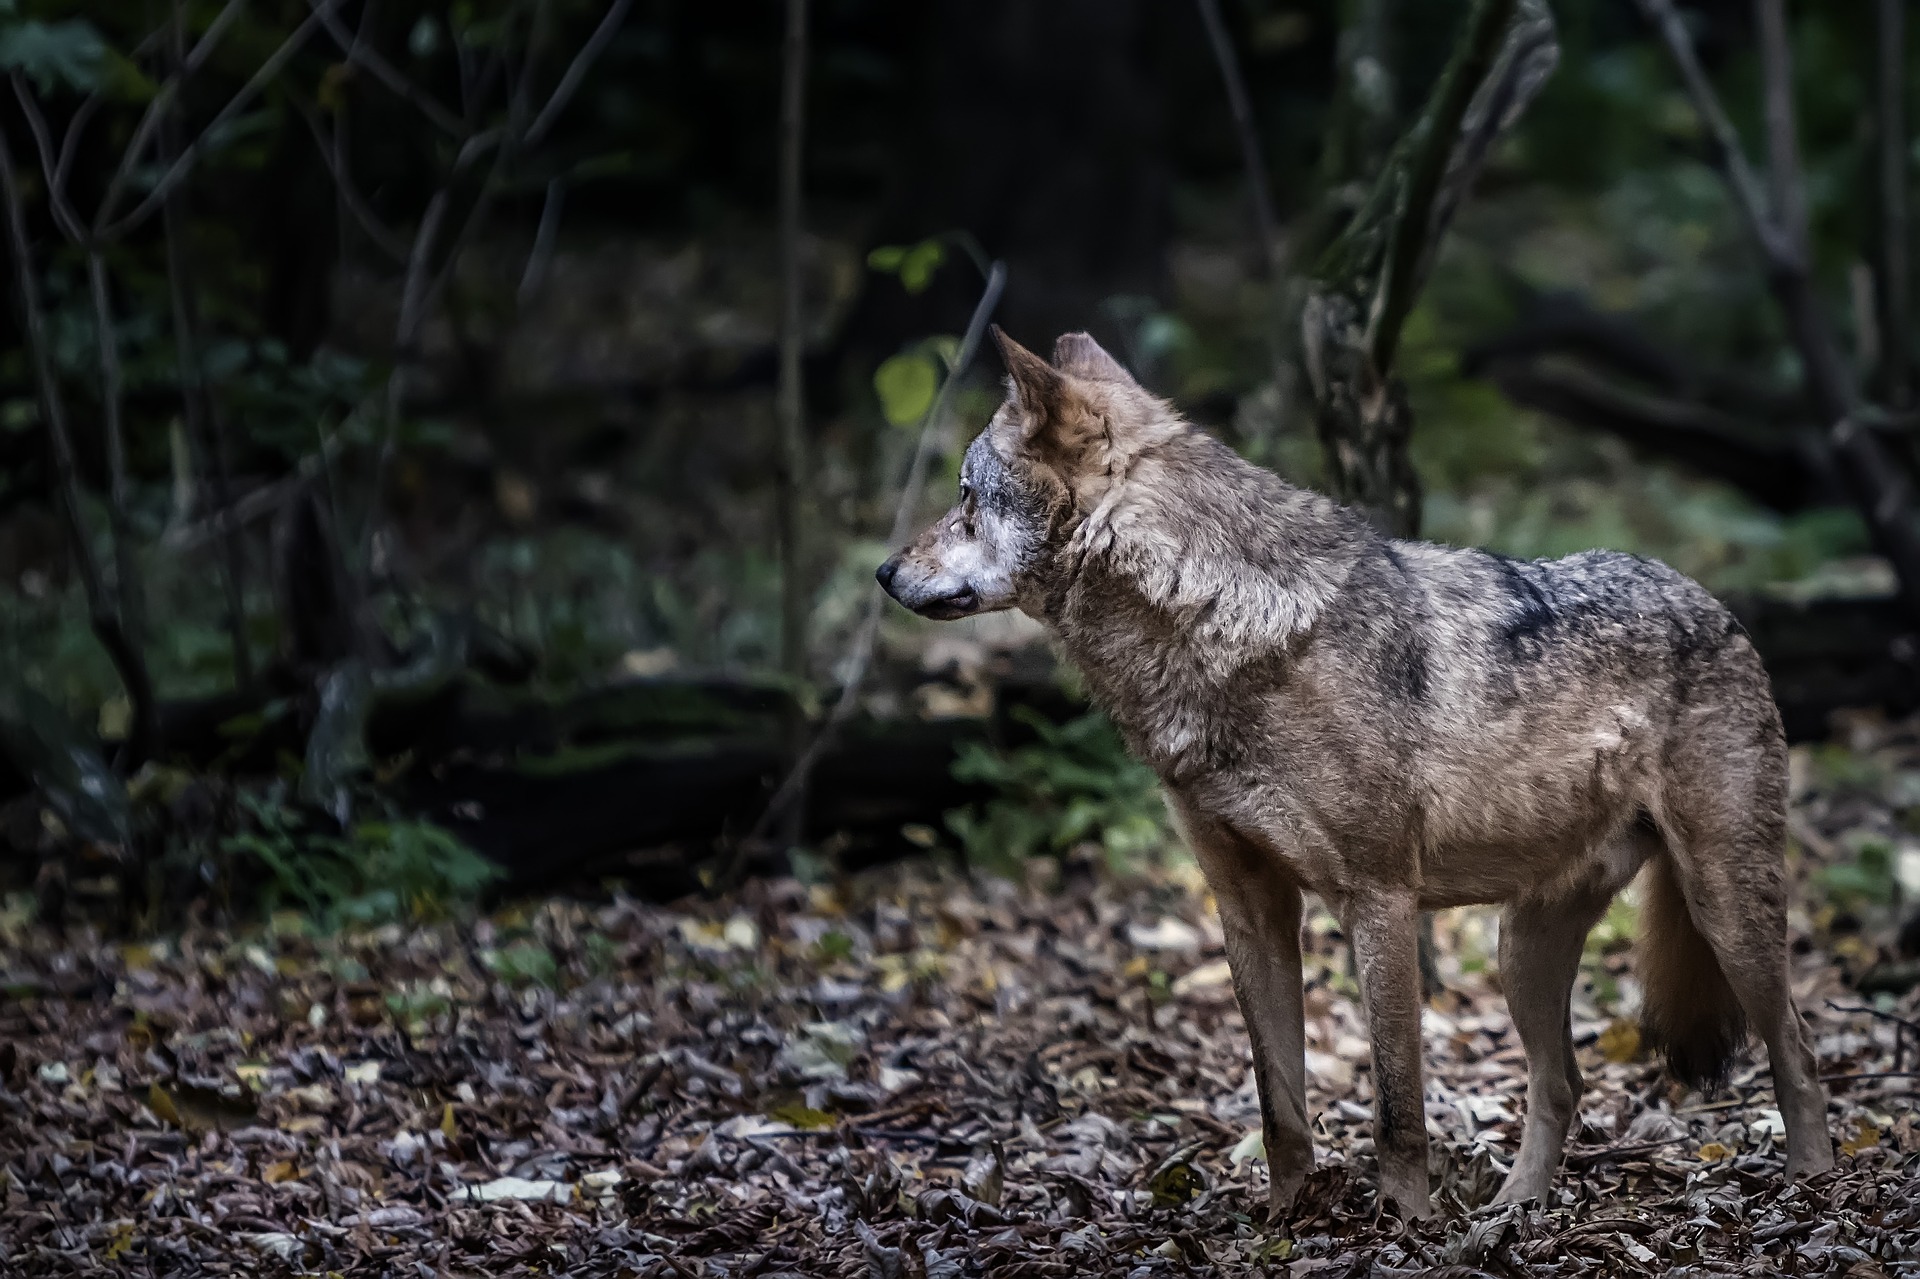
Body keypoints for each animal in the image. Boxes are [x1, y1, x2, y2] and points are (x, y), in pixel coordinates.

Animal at [879, 326, 1835, 1213]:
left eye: (965, 498)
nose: (886, 570)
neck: (1218, 629)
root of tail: (1713, 602)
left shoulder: (1378, 896)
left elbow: (1396, 1109)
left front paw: (1404, 1226)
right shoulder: (1251, 907)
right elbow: (1280, 1107)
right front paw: (1284, 1221)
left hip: (1724, 908)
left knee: (1795, 1046)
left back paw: (1814, 1186)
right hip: (1521, 950)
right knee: (1563, 1082)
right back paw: (1513, 1211)